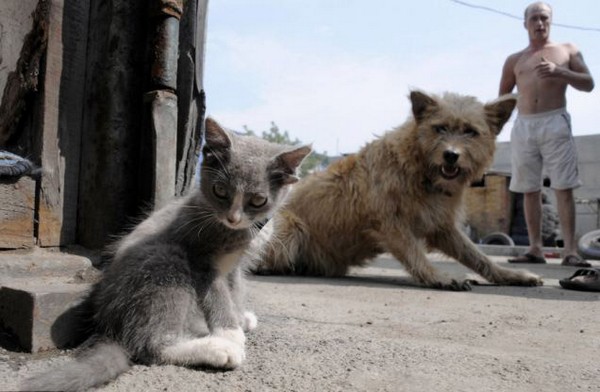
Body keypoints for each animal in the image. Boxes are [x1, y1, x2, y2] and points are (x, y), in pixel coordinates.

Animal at [21, 118, 312, 390]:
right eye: (220, 191)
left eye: (258, 201)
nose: (233, 218)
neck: (233, 230)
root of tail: (110, 325)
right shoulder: (199, 256)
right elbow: (218, 295)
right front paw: (230, 333)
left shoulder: (235, 266)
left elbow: (235, 290)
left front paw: (239, 317)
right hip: (165, 261)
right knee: (152, 345)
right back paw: (217, 349)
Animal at [251, 90, 540, 290]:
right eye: (440, 128)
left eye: (471, 132)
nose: (451, 155)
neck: (420, 170)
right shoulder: (390, 223)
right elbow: (415, 254)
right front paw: (438, 277)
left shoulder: (443, 227)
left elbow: (477, 256)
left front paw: (510, 276)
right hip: (290, 226)